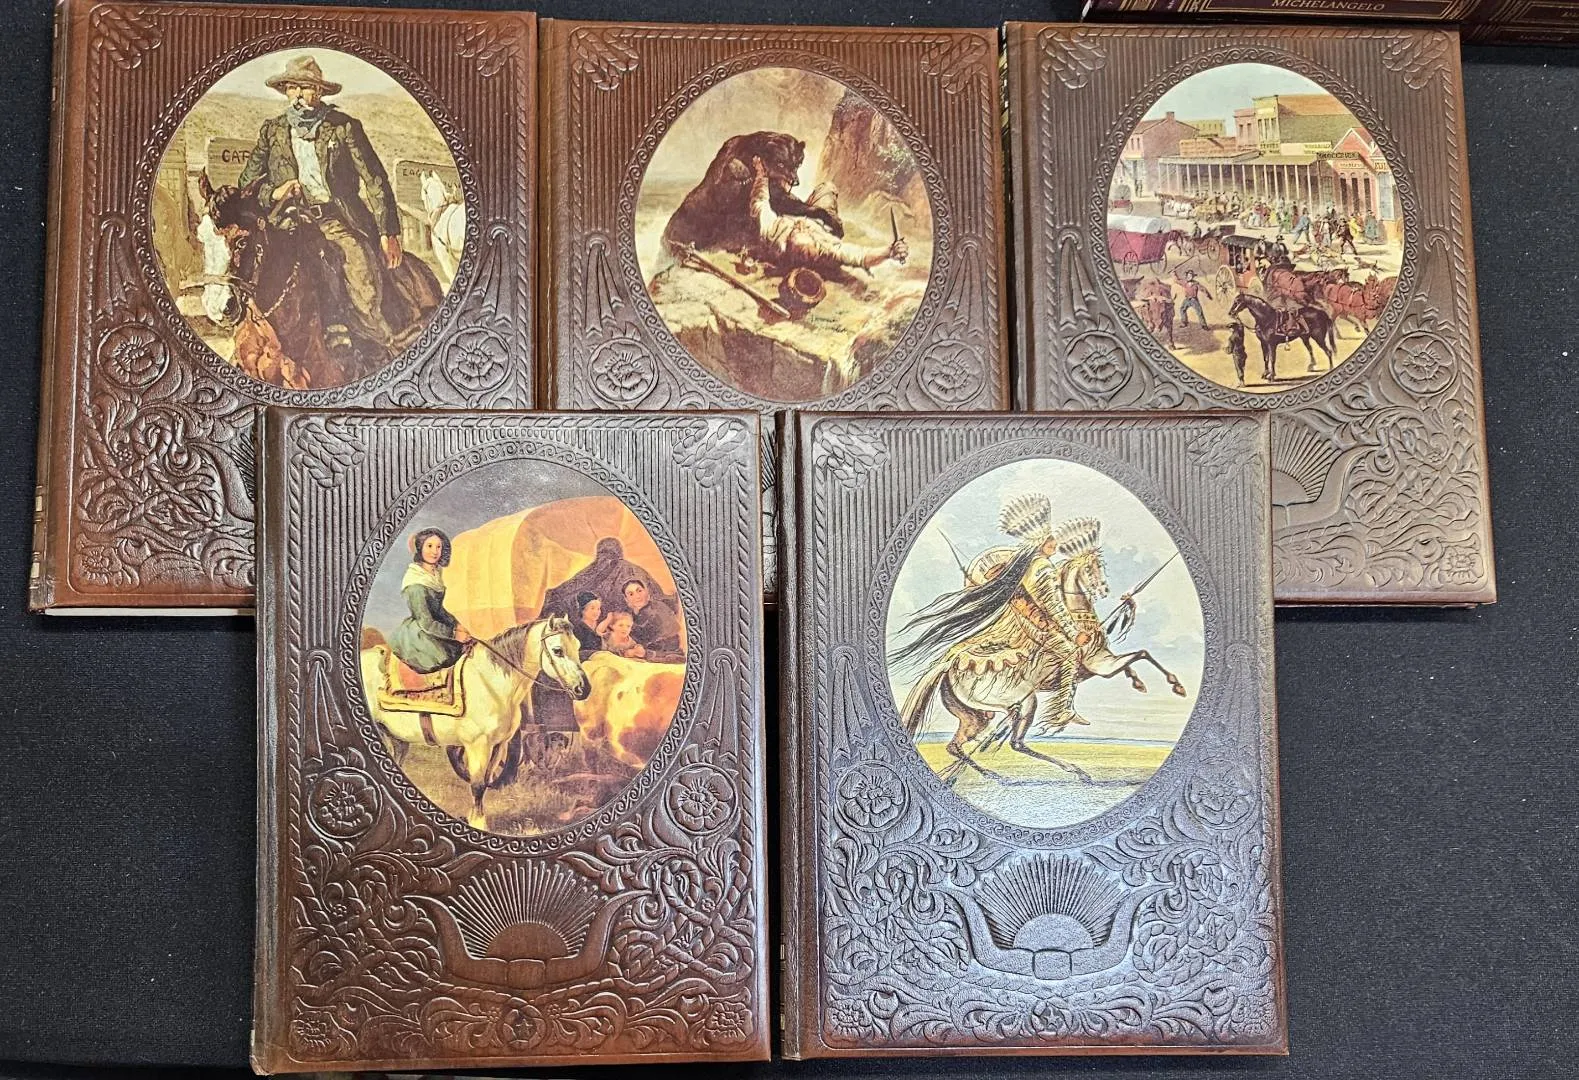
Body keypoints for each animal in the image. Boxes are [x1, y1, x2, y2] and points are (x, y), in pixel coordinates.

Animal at [361, 616, 591, 830]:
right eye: (558, 650)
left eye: (578, 646)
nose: (583, 688)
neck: (490, 681)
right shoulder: (477, 745)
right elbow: (478, 785)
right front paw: (479, 823)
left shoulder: (499, 745)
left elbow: (486, 782)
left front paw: (473, 818)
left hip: (397, 739)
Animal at [898, 547, 1186, 787]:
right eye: (1094, 567)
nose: (1105, 589)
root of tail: (948, 666)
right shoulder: (1100, 665)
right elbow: (1142, 653)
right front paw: (1177, 685)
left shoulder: (1103, 663)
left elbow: (1136, 658)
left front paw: (1140, 681)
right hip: (1023, 702)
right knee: (1014, 739)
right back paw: (1067, 770)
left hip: (975, 716)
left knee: (958, 746)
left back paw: (997, 775)